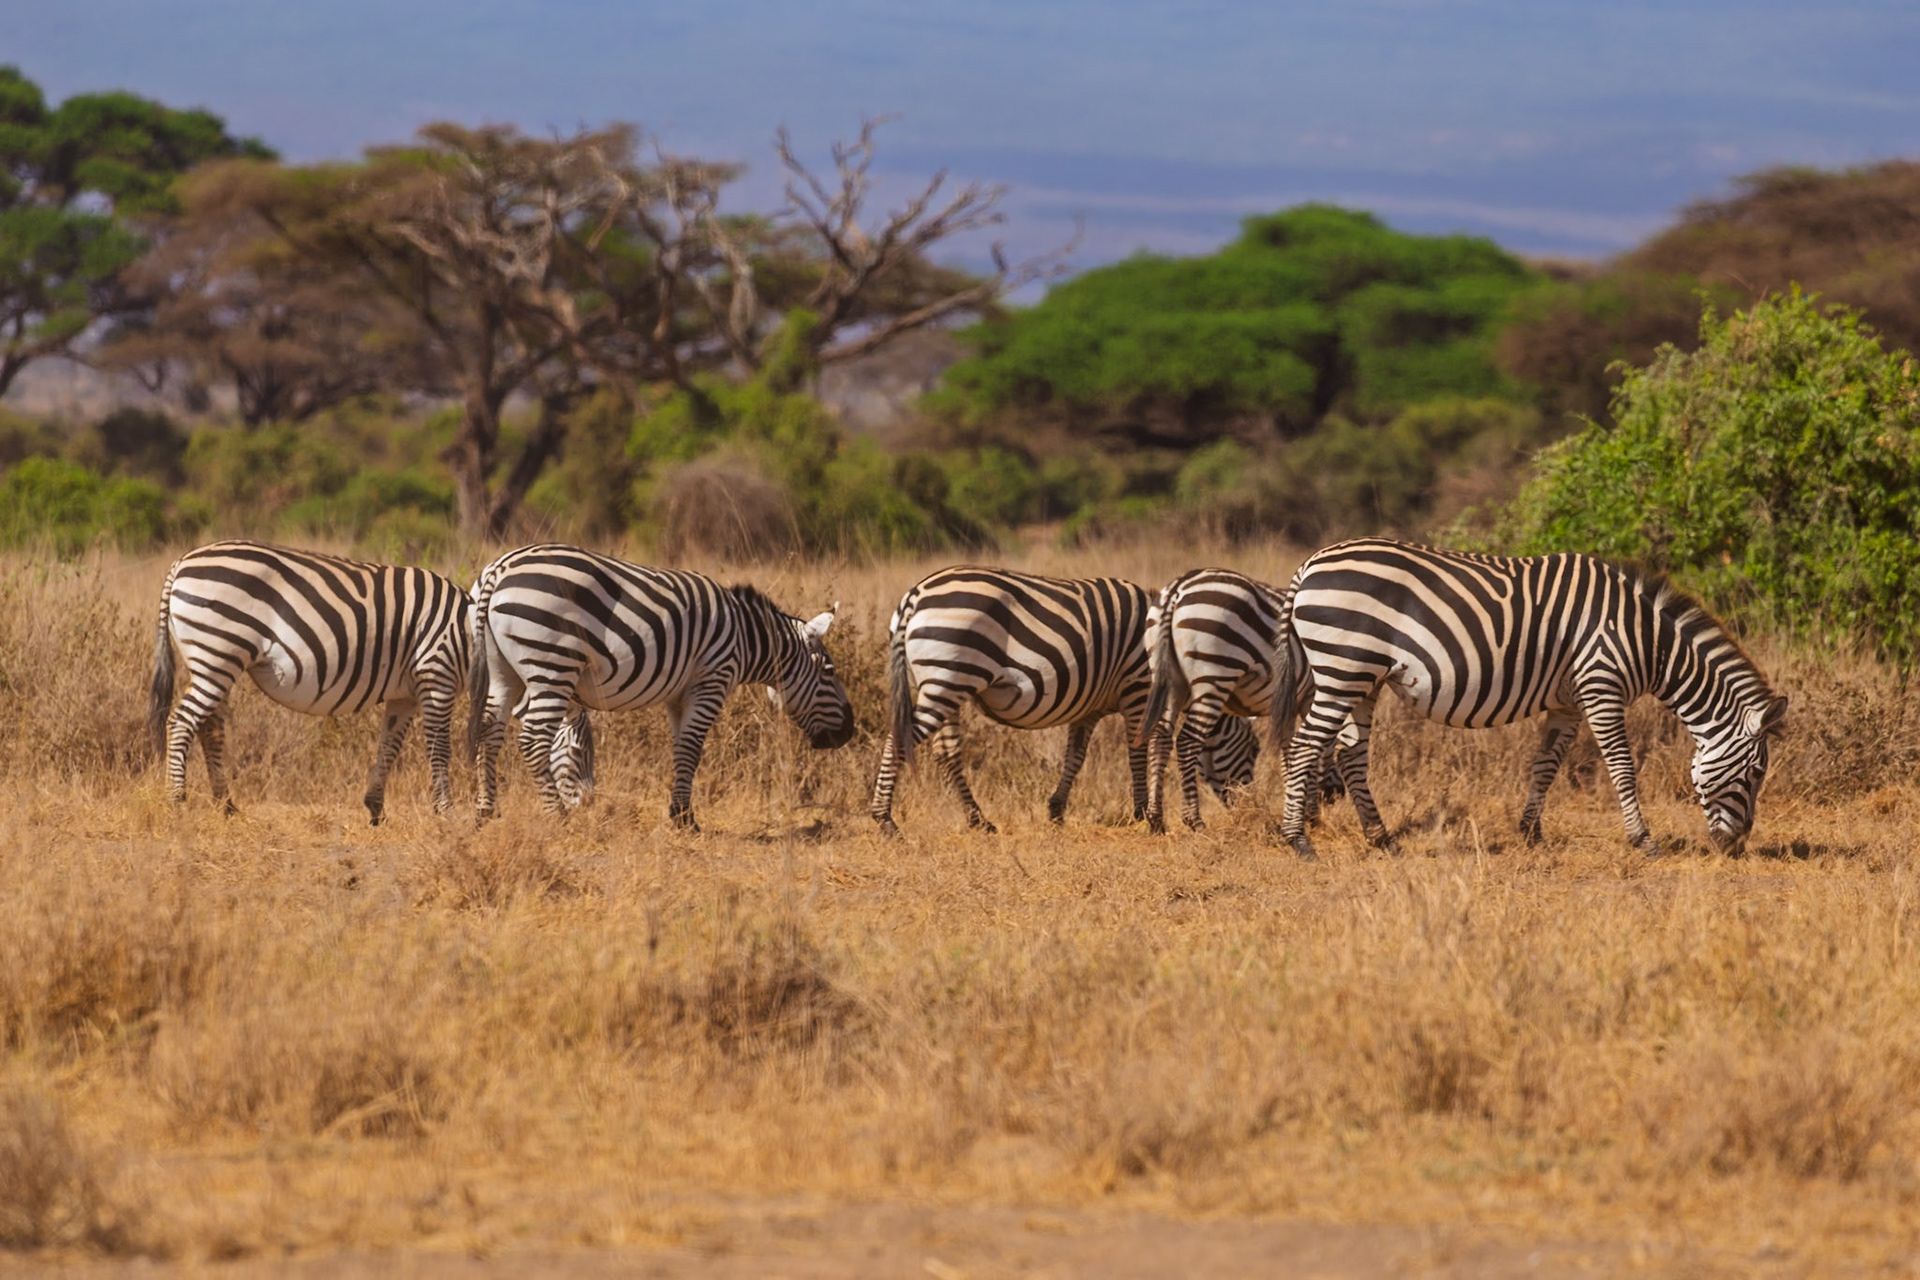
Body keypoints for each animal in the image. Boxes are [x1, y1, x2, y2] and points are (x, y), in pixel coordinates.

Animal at [148, 539, 476, 822]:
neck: (468, 630)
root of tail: (180, 563)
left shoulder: (404, 694)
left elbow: (389, 745)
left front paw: (376, 808)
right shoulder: (436, 675)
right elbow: (440, 747)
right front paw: (447, 812)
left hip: (215, 662)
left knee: (210, 728)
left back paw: (225, 805)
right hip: (217, 653)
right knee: (181, 722)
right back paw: (177, 802)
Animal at [467, 544, 855, 829]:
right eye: (830, 671)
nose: (849, 731)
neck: (746, 637)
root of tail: (499, 568)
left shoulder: (677, 695)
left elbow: (680, 747)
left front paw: (679, 812)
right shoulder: (711, 680)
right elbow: (693, 748)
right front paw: (686, 820)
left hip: (502, 670)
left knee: (490, 730)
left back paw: (486, 811)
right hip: (553, 663)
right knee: (533, 739)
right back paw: (557, 817)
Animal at [869, 566, 1261, 835]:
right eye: (1255, 750)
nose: (1249, 809)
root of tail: (916, 593)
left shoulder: (1089, 707)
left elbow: (1075, 756)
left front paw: (1056, 809)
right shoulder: (1138, 687)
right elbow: (1137, 751)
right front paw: (1140, 812)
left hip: (945, 685)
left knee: (947, 752)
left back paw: (979, 820)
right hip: (948, 678)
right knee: (902, 739)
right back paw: (884, 819)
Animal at [1270, 538, 1788, 859]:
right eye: (1756, 773)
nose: (1736, 846)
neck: (1647, 641)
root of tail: (1311, 563)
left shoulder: (1567, 701)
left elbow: (1546, 764)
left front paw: (1531, 833)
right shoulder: (1601, 687)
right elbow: (1622, 766)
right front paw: (1643, 839)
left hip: (1364, 678)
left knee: (1350, 754)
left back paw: (1381, 840)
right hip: (1343, 668)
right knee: (1304, 746)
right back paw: (1299, 841)